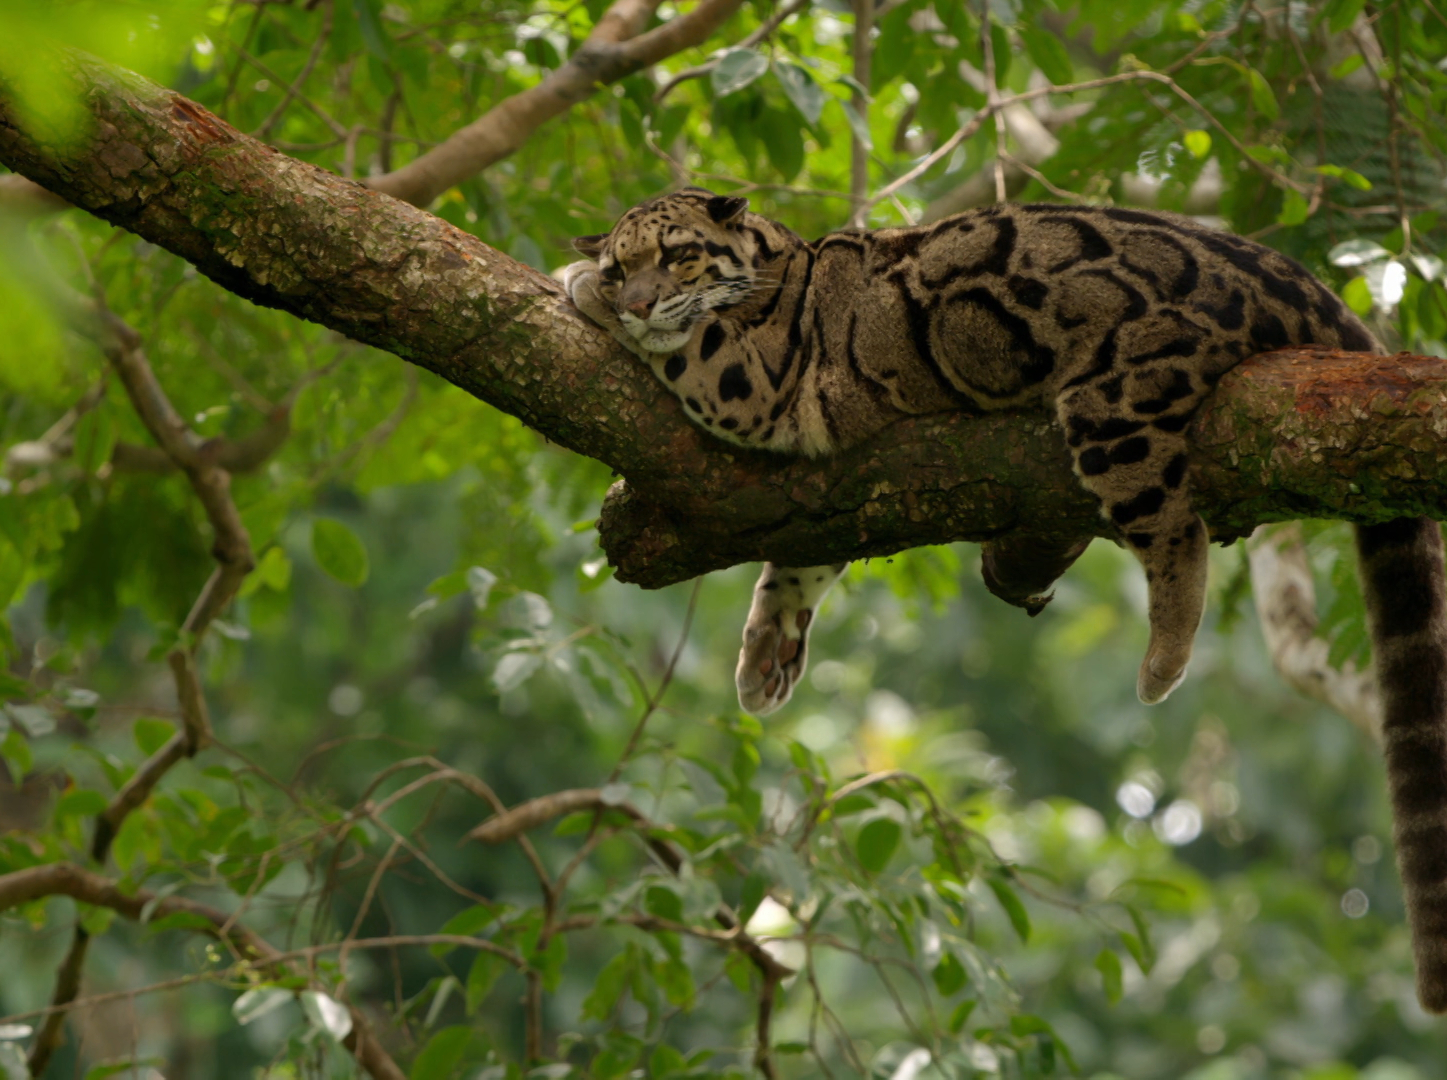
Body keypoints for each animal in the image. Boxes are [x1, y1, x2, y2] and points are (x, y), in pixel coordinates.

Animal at [563, 186, 1447, 1010]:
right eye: (623, 262)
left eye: (676, 257)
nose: (630, 296)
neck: (780, 267)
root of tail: (1307, 288)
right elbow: (800, 561)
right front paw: (768, 647)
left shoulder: (764, 381)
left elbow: (694, 346)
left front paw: (584, 295)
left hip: (1115, 402)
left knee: (1176, 531)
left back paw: (1164, 653)